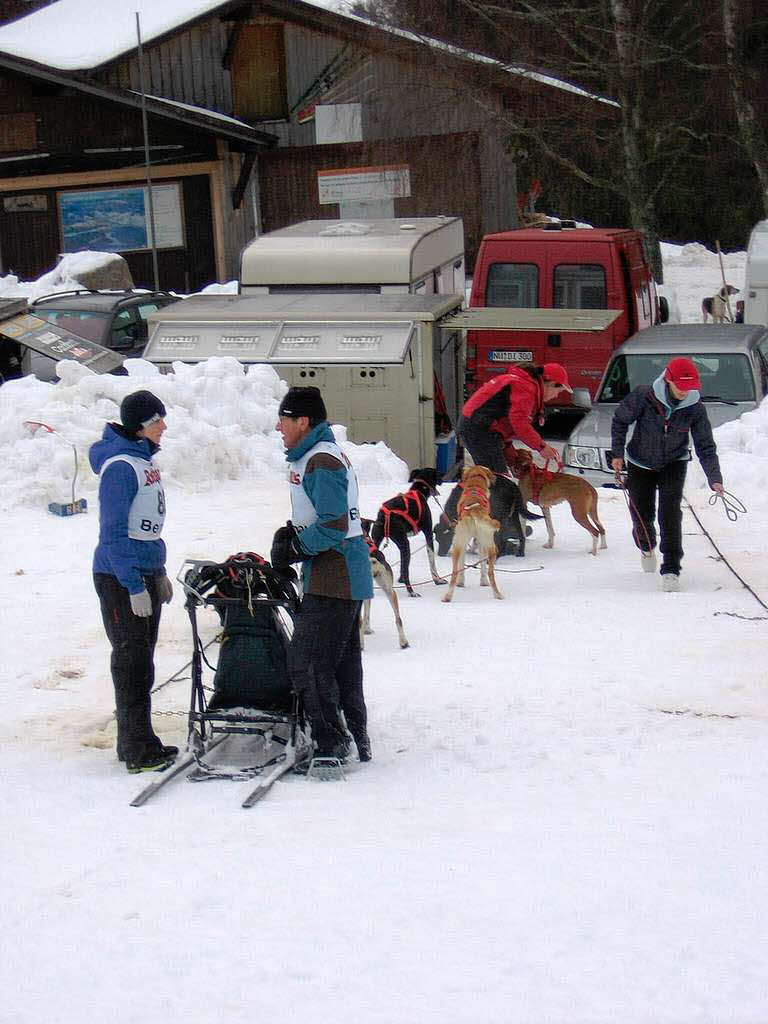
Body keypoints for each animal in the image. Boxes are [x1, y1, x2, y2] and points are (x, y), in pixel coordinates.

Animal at [370, 468, 448, 598]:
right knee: (407, 572)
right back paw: (411, 591)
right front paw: (437, 580)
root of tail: (384, 516)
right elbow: (431, 560)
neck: (419, 491)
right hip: (405, 543)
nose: (444, 475)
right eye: (436, 472)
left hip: (379, 541)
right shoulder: (428, 533)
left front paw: (400, 579)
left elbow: (403, 564)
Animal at [438, 464, 505, 598]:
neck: (475, 484)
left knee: (455, 571)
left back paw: (448, 597)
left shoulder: (467, 545)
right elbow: (482, 566)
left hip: (459, 546)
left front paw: (463, 582)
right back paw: (497, 594)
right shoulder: (480, 543)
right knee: (490, 572)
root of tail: (474, 510)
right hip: (488, 546)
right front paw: (483, 582)